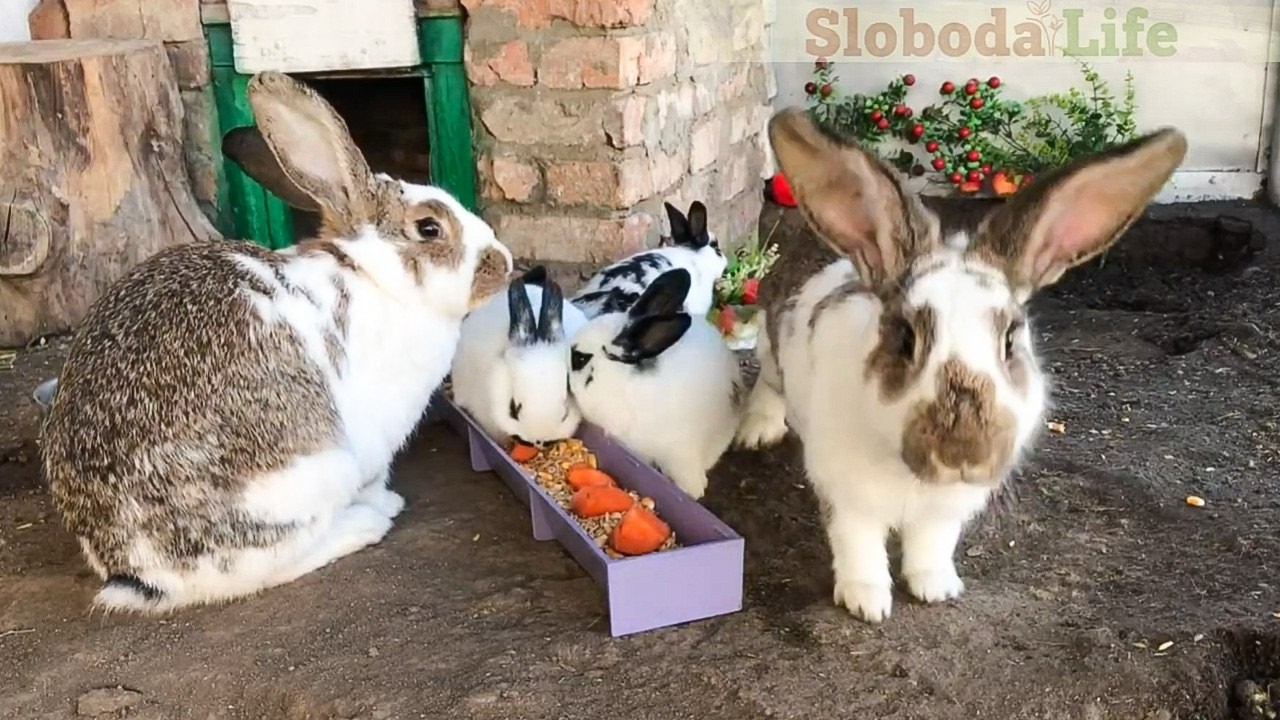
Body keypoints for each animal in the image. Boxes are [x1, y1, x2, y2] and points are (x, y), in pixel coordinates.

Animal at [39, 71, 514, 615]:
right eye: (429, 227)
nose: (503, 262)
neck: (375, 277)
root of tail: (136, 570)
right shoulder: (372, 444)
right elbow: (374, 481)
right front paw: (386, 502)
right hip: (316, 472)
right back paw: (366, 525)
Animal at [735, 106, 1187, 623]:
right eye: (906, 338)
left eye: (1010, 339)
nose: (962, 453)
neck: (914, 476)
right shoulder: (849, 499)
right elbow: (859, 546)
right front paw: (867, 602)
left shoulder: (945, 512)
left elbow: (931, 545)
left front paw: (935, 587)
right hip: (772, 347)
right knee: (768, 385)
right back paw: (757, 431)